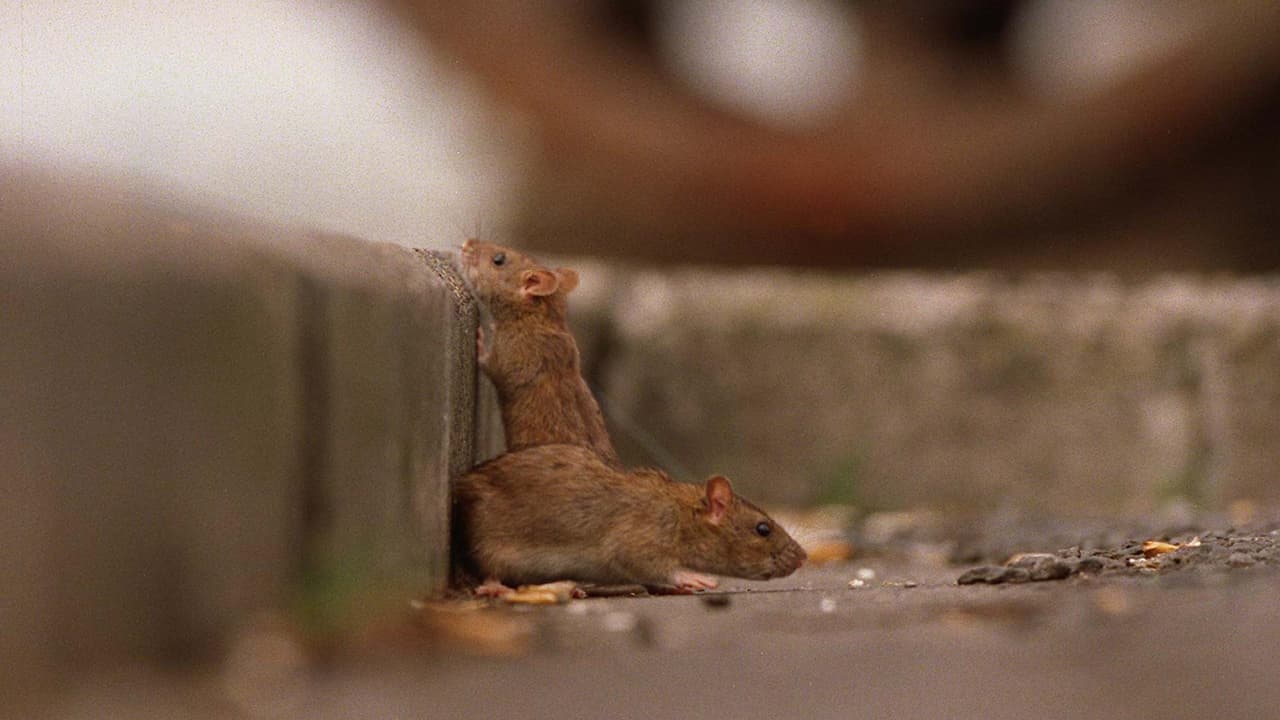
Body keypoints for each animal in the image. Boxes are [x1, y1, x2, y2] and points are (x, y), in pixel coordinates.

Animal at [453, 444, 807, 592]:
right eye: (763, 529)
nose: (803, 557)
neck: (683, 510)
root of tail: (466, 483)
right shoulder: (643, 534)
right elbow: (638, 559)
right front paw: (689, 577)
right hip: (491, 542)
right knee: (491, 571)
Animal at [458, 239, 622, 469]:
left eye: (499, 259)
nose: (466, 244)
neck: (539, 314)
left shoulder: (512, 355)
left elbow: (490, 364)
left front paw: (480, 339)